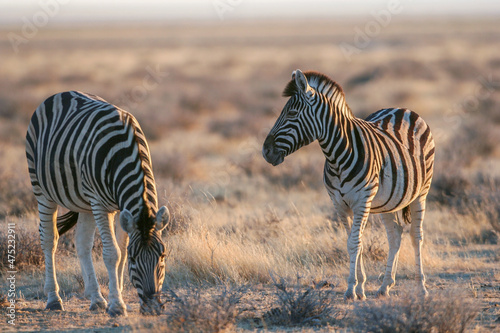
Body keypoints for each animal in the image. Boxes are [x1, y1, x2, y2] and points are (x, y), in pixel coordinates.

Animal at [25, 90, 170, 314]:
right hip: (42, 190)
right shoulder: (101, 205)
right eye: (134, 259)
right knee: (49, 239)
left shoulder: (120, 208)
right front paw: (117, 305)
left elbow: (120, 252)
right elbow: (113, 254)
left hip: (85, 203)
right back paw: (54, 299)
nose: (153, 308)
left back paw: (96, 299)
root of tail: (60, 93)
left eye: (162, 256)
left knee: (82, 244)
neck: (126, 150)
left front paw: (115, 298)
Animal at [264, 69, 436, 298]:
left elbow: (355, 242)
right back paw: (385, 286)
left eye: (291, 114)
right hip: (389, 200)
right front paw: (359, 286)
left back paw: (421, 288)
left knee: (416, 236)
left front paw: (351, 290)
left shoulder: (362, 200)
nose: (265, 151)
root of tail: (403, 109)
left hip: (421, 192)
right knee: (395, 235)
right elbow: (352, 242)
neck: (336, 157)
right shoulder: (339, 204)